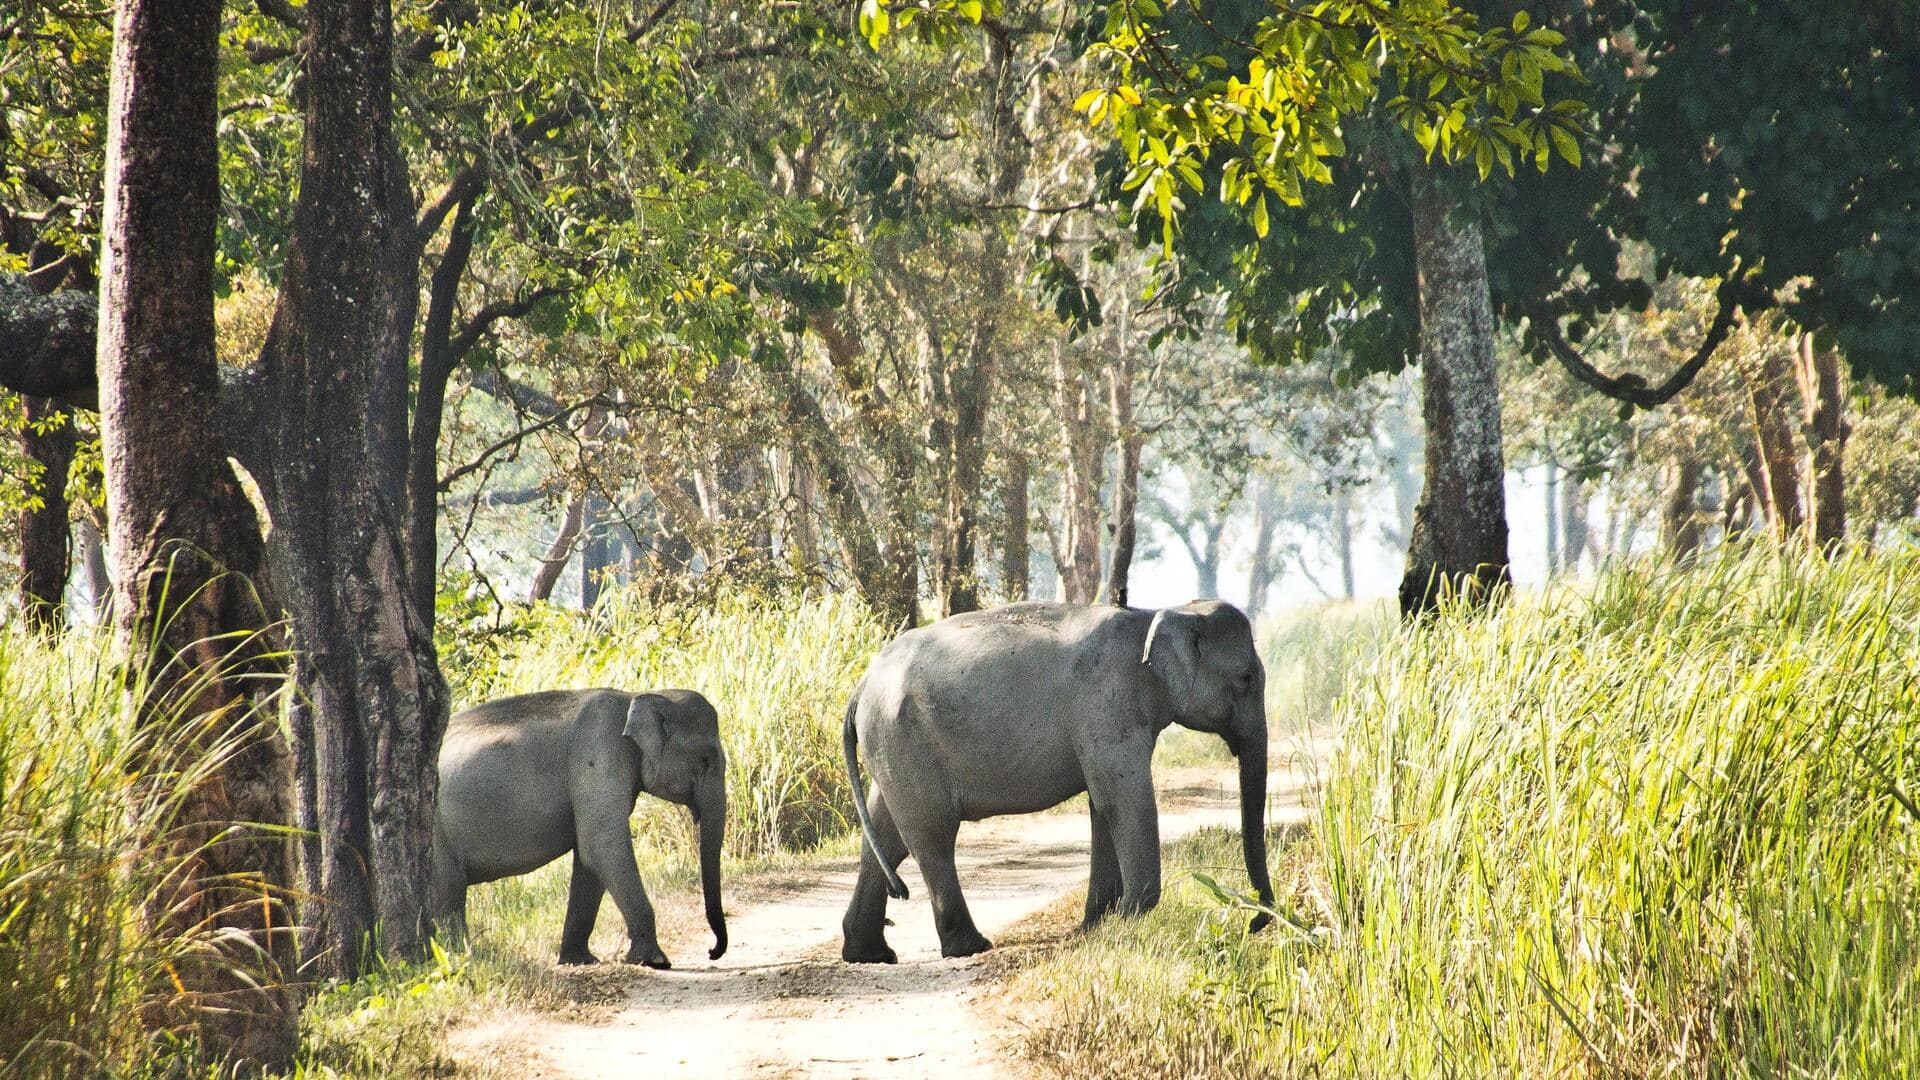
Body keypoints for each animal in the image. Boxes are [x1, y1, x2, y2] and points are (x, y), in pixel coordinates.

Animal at [430, 687, 725, 968]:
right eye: (704, 759)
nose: (711, 952)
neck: (635, 696)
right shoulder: (599, 756)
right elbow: (602, 848)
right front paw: (655, 961)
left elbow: (589, 860)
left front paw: (580, 960)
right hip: (438, 838)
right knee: (448, 890)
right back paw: (461, 956)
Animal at [840, 595, 1274, 957]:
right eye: (1246, 679)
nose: (1255, 923)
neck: (1161, 613)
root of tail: (861, 685)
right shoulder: (1107, 706)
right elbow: (1123, 800)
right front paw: (1130, 919)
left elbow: (1104, 806)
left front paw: (1098, 926)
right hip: (906, 742)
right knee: (932, 835)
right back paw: (969, 947)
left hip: (892, 747)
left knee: (885, 834)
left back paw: (870, 954)